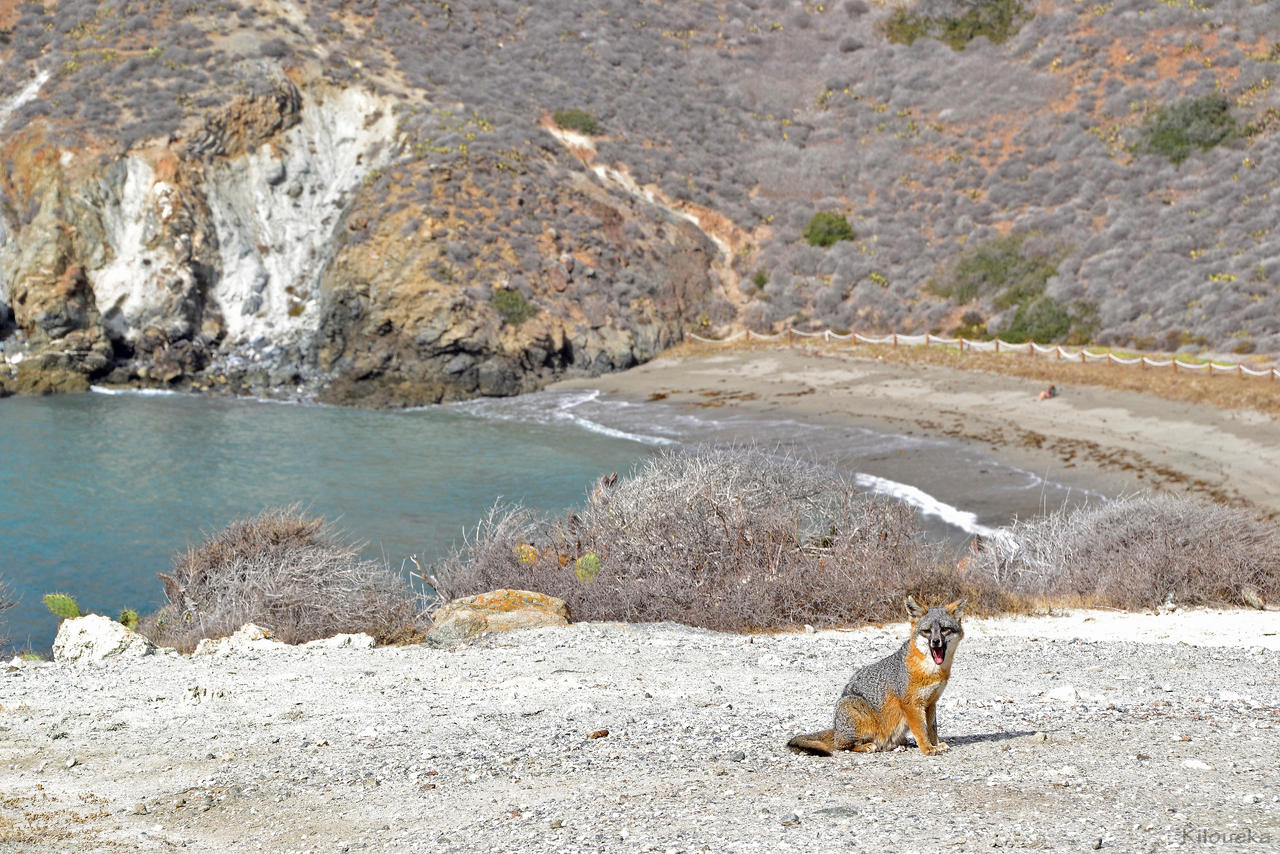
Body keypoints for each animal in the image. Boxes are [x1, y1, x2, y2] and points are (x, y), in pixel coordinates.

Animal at [783, 599, 962, 757]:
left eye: (945, 629)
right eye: (927, 631)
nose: (935, 642)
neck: (932, 671)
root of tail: (836, 729)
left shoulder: (930, 702)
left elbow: (932, 728)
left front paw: (936, 744)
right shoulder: (911, 704)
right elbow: (921, 730)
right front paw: (927, 748)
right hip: (854, 710)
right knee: (842, 745)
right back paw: (867, 746)